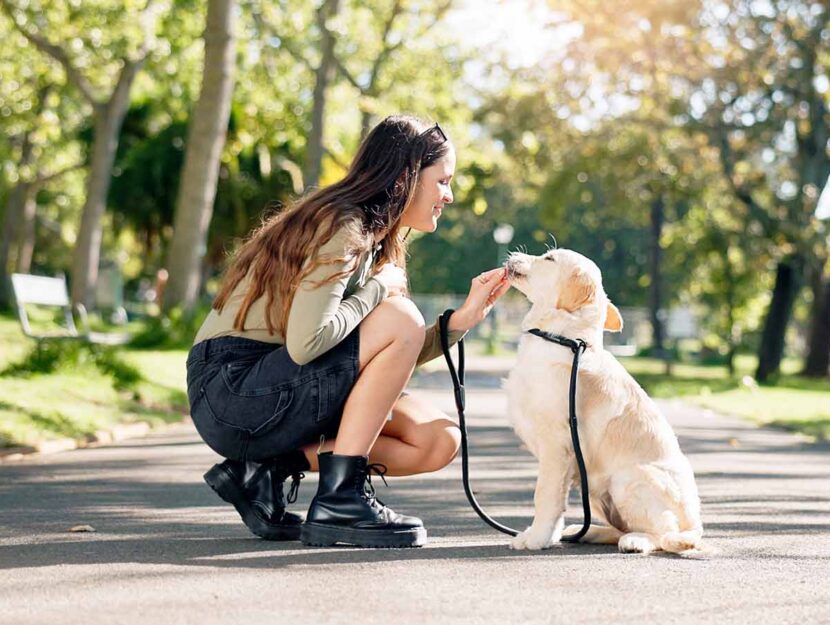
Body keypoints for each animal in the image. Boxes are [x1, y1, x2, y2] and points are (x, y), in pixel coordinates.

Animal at [504, 246, 704, 552]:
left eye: (549, 258)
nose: (513, 254)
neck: (562, 338)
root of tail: (696, 524)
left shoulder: (555, 445)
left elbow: (545, 495)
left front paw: (536, 539)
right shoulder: (567, 461)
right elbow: (557, 504)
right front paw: (547, 536)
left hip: (627, 480)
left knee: (662, 532)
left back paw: (636, 541)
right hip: (594, 489)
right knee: (619, 527)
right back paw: (588, 532)